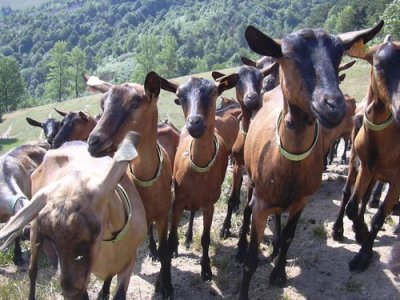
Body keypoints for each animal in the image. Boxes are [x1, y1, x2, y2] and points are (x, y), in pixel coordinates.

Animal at [0, 134, 147, 300]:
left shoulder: (129, 260)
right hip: (34, 231)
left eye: (96, 230)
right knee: (33, 270)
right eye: (52, 238)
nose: (69, 291)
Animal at [84, 71, 173, 296]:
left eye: (134, 103)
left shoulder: (163, 215)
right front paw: (104, 290)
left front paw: (166, 285)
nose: (93, 142)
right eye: (103, 104)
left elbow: (165, 250)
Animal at [155, 72, 238, 282]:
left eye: (214, 92)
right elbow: (171, 237)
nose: (194, 123)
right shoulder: (177, 200)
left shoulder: (210, 204)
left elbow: (206, 239)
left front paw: (206, 269)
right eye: (179, 97)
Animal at [236, 21, 382, 298]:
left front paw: (279, 273)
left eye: (338, 55)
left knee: (279, 218)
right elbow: (250, 258)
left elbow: (289, 236)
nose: (333, 105)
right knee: (249, 208)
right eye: (288, 54)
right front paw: (243, 288)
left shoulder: (301, 200)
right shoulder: (261, 204)